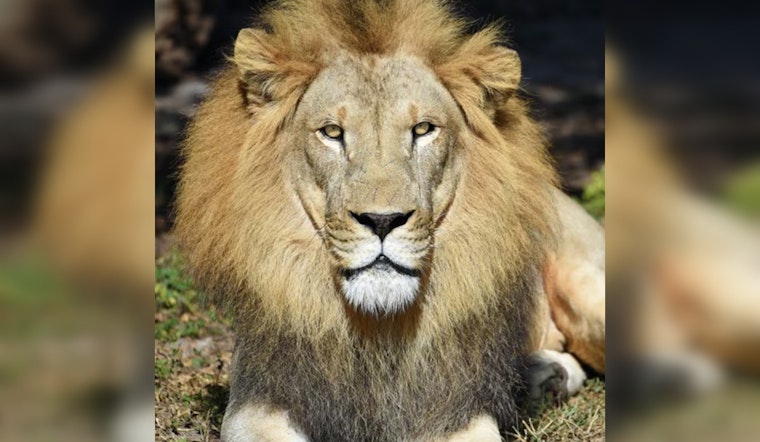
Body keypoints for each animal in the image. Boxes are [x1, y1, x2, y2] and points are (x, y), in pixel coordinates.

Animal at [174, 1, 605, 440]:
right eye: (332, 132)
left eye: (423, 129)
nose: (382, 221)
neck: (380, 328)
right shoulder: (256, 403)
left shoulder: (456, 414)